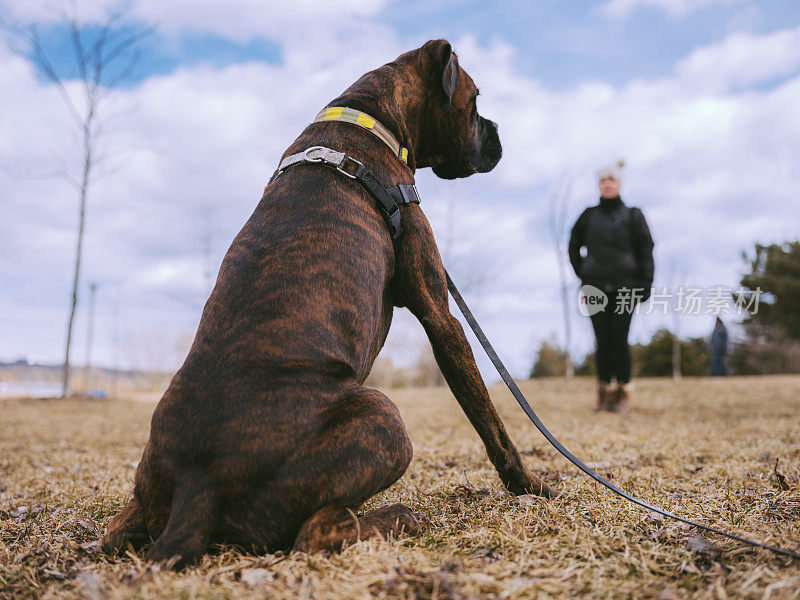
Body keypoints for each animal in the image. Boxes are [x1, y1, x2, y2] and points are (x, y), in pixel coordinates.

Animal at [101, 39, 556, 568]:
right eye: (475, 100)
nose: (499, 133)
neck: (368, 120)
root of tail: (199, 482)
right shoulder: (441, 317)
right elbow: (490, 420)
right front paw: (531, 486)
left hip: (145, 494)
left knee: (117, 532)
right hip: (383, 418)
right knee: (316, 534)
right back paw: (399, 517)